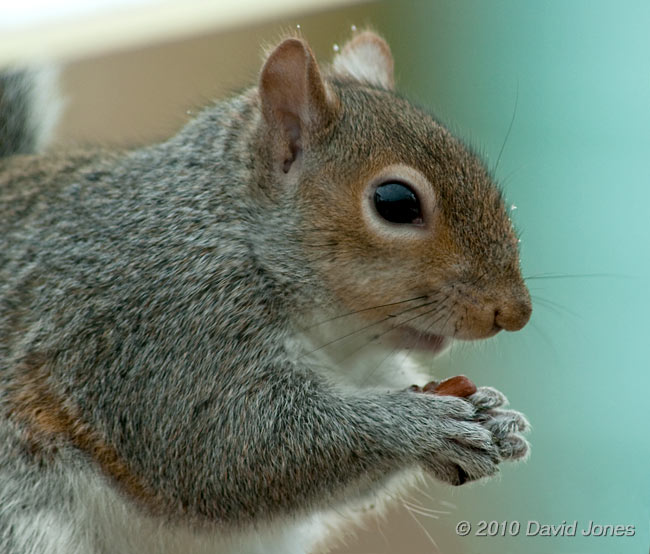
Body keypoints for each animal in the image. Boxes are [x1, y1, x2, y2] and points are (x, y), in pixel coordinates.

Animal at [0, 31, 532, 554]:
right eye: (395, 202)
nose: (515, 313)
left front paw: (496, 415)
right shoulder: (162, 326)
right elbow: (230, 447)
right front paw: (422, 426)